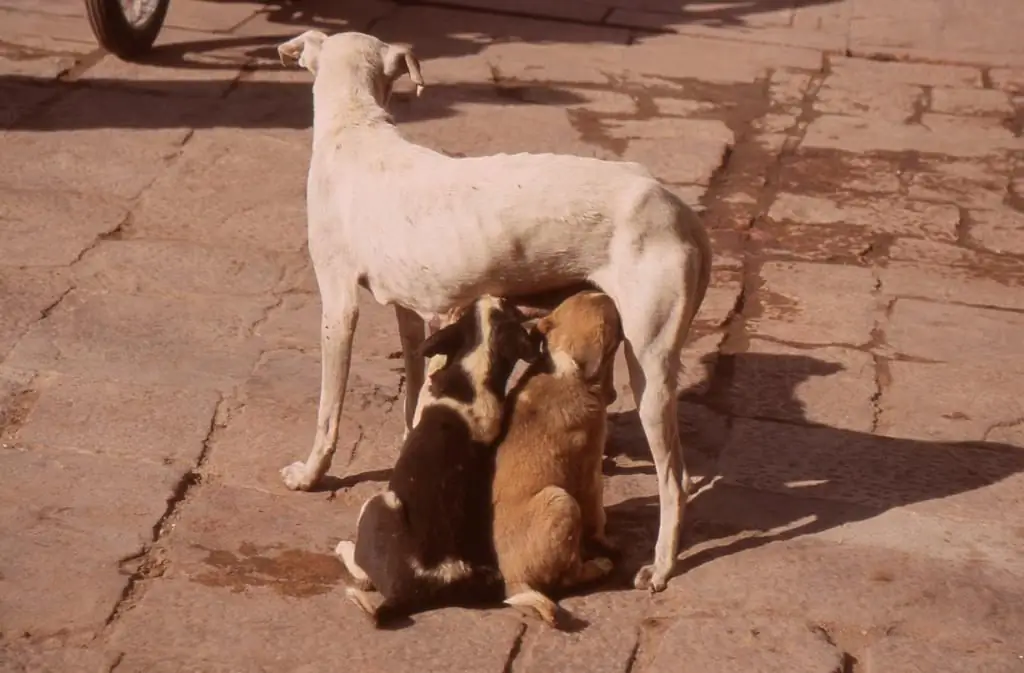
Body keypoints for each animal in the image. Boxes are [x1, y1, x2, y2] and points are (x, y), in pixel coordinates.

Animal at [337, 295, 544, 622]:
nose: (497, 295)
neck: (477, 368)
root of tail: (416, 589)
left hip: (379, 503)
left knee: (364, 572)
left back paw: (345, 549)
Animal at [489, 290, 622, 626]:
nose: (606, 290)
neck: (565, 365)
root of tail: (512, 582)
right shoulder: (590, 472)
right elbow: (597, 516)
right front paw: (606, 541)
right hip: (561, 500)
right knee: (570, 574)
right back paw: (599, 566)